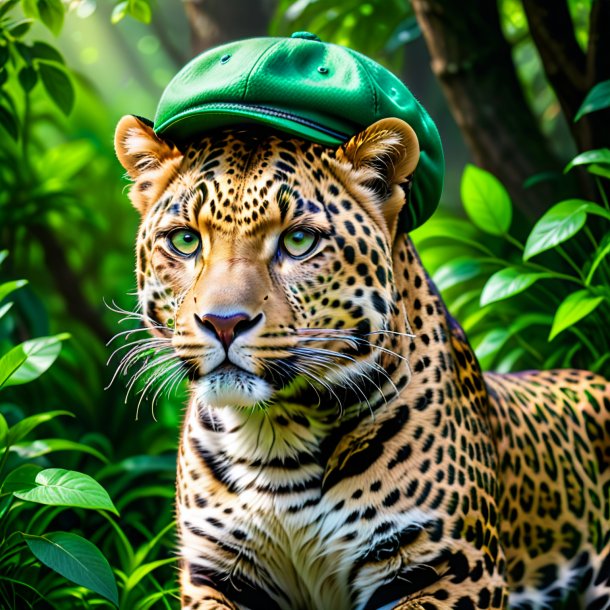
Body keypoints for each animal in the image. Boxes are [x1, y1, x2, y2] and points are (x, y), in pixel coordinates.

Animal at [114, 114, 608, 608]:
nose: (223, 322)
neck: (275, 440)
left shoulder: (453, 568)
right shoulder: (215, 572)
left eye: (298, 240)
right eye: (185, 240)